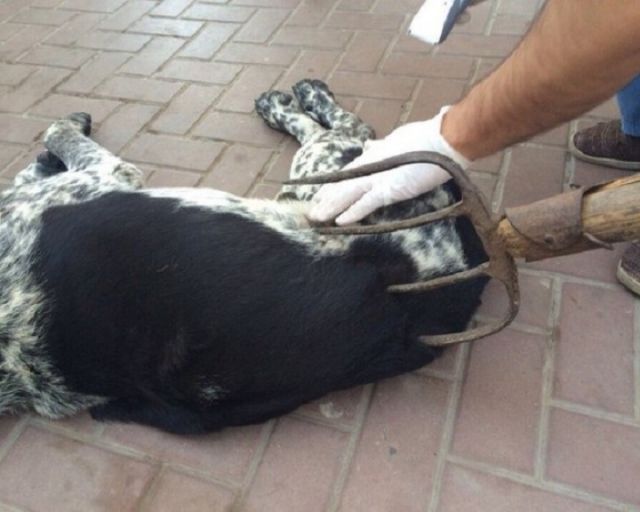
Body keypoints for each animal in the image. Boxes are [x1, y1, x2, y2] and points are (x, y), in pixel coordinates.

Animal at [0, 80, 487, 434]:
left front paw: (45, 159)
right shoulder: (107, 175)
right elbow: (55, 135)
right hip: (329, 177)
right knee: (345, 129)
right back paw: (296, 98)